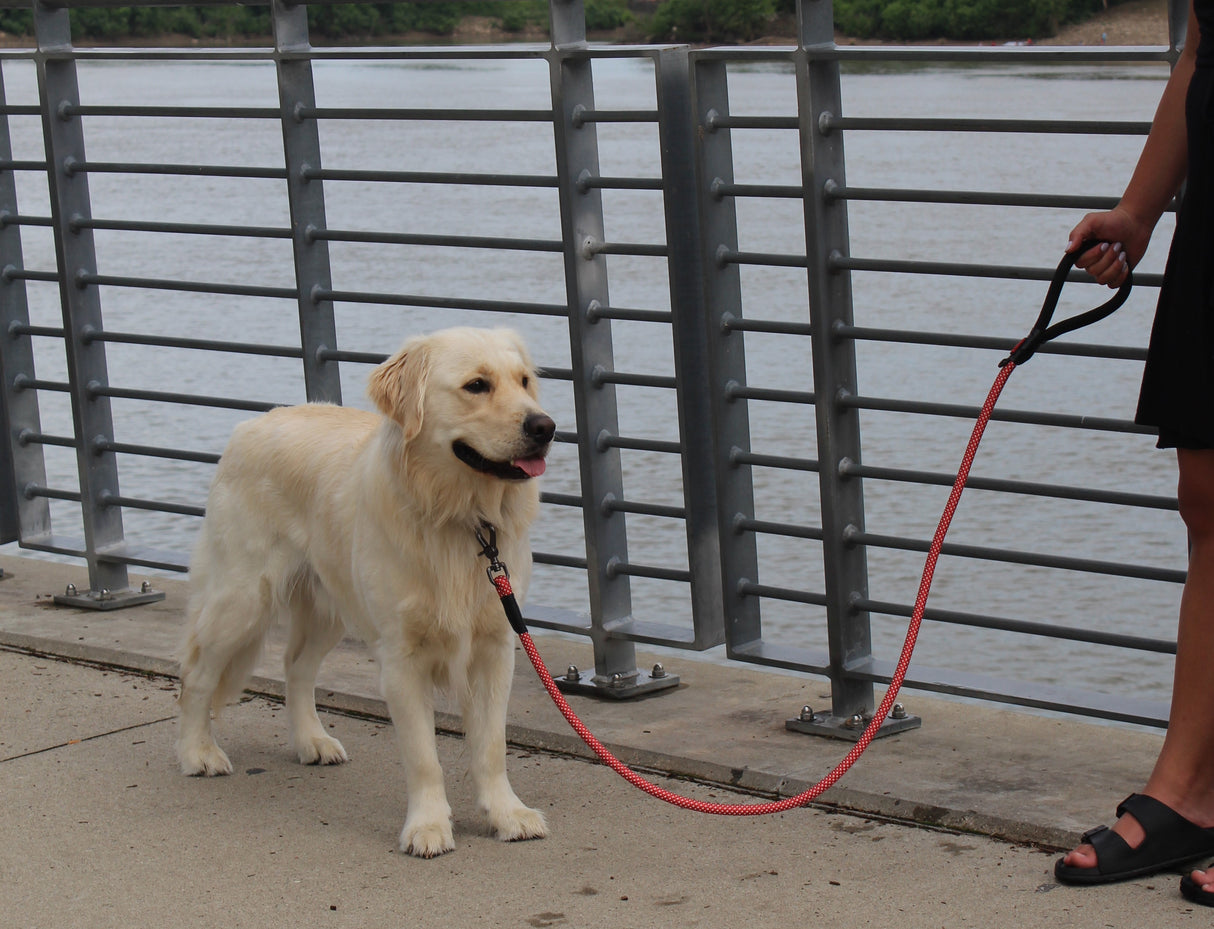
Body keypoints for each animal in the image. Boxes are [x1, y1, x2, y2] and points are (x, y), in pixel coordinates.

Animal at [176, 325, 556, 854]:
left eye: (523, 381)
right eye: (476, 385)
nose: (546, 427)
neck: (458, 516)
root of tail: (252, 424)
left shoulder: (495, 647)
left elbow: (491, 747)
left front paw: (506, 814)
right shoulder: (402, 657)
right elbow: (423, 756)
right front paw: (428, 826)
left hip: (326, 607)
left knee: (296, 667)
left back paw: (310, 741)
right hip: (242, 598)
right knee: (197, 673)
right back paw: (198, 752)